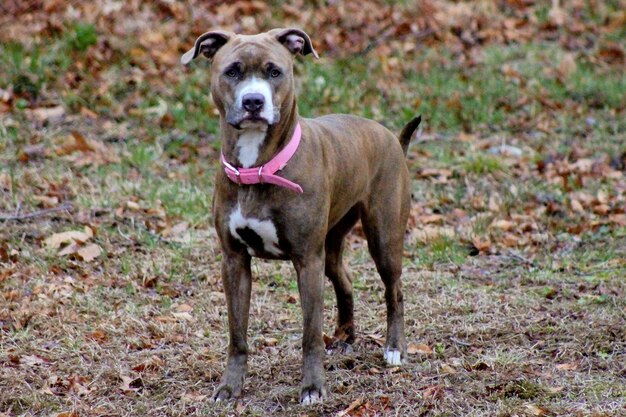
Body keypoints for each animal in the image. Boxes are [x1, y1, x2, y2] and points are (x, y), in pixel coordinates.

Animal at [180, 28, 422, 404]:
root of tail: (392, 138)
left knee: (393, 290)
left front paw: (312, 387)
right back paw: (344, 338)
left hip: (383, 237)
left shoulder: (307, 260)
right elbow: (237, 334)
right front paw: (230, 387)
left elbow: (310, 334)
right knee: (344, 281)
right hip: (332, 245)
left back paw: (395, 349)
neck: (258, 168)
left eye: (274, 71)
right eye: (232, 71)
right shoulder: (234, 261)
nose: (253, 102)